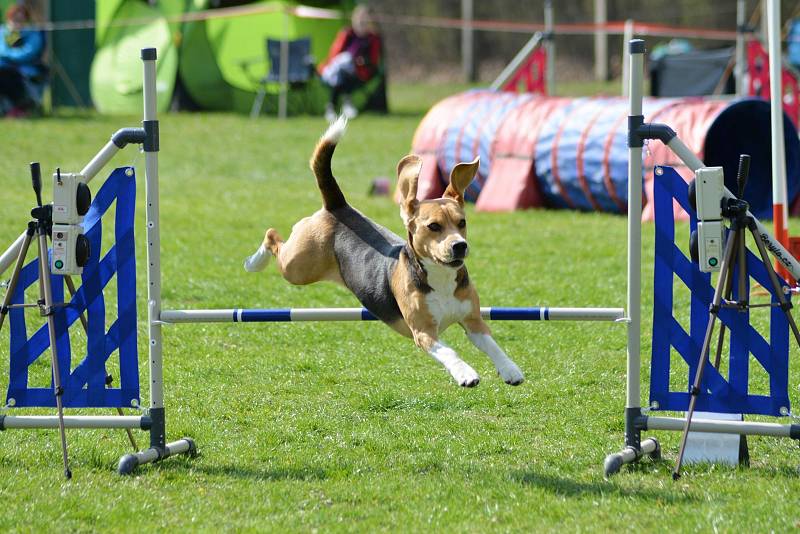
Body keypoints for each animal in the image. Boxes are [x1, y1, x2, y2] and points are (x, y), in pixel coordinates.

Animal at [244, 118, 524, 390]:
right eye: (434, 226)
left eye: (462, 222)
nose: (459, 246)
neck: (440, 277)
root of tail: (337, 206)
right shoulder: (423, 332)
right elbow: (450, 352)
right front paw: (465, 373)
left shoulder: (474, 321)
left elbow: (493, 346)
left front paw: (510, 370)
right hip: (298, 267)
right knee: (272, 236)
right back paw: (253, 263)